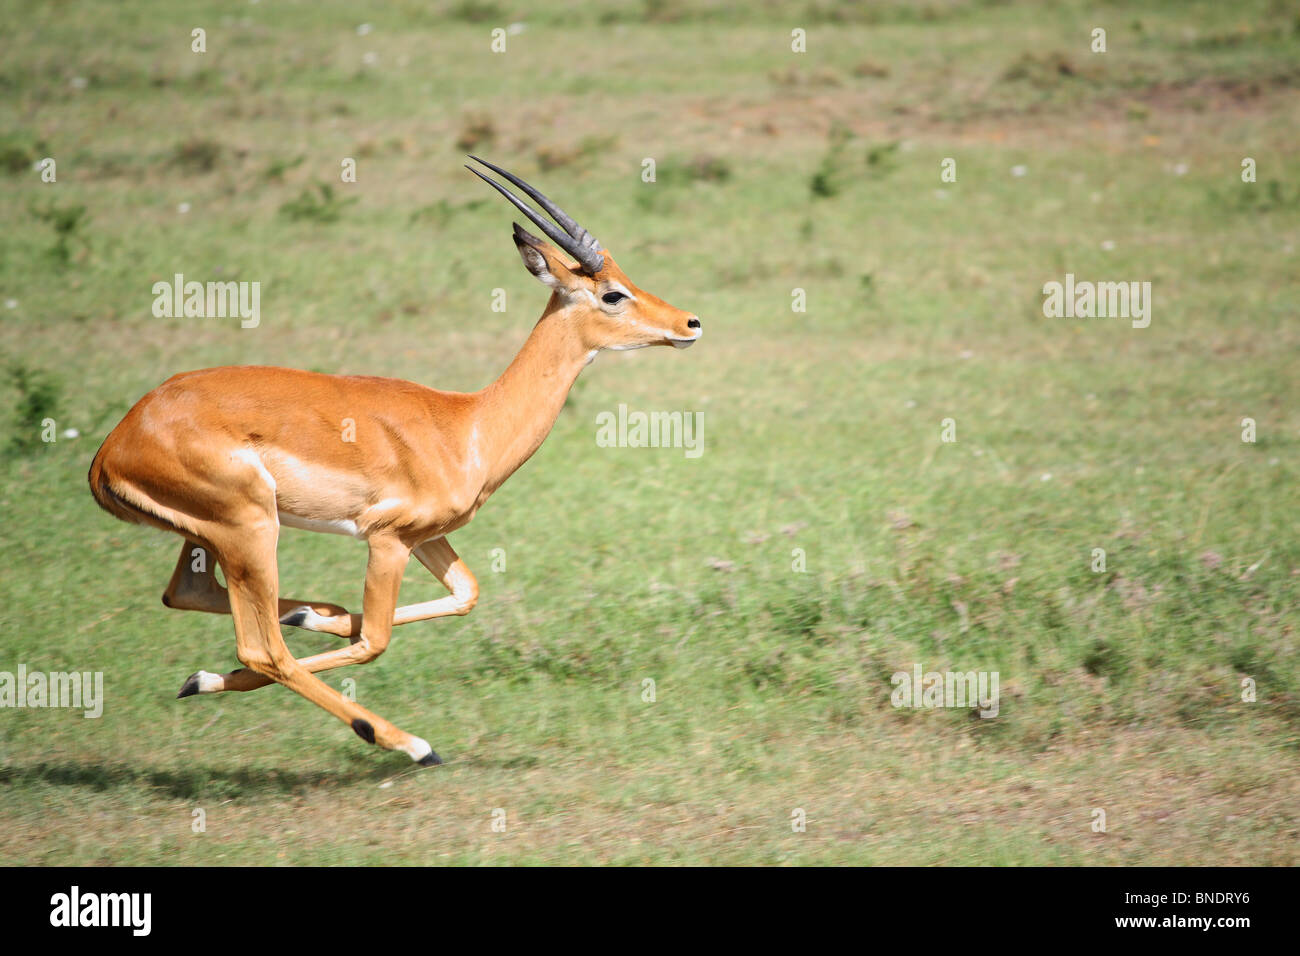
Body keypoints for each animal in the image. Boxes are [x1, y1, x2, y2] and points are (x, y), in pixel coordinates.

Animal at [89, 160, 702, 764]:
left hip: (211, 535)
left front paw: (276, 639)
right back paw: (409, 743)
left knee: (190, 595)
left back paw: (255, 647)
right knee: (265, 650)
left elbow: (465, 594)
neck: (467, 424)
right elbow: (375, 640)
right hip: (250, 528)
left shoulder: (425, 536)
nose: (690, 323)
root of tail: (114, 446)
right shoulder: (386, 539)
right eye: (613, 294)